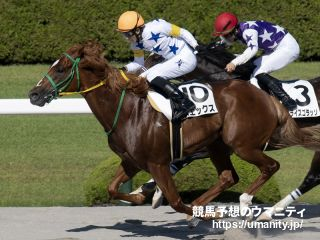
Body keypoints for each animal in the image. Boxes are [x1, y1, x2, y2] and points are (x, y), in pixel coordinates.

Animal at [28, 40, 320, 223]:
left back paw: (251, 205)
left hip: (242, 145)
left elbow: (177, 200)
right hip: (219, 145)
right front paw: (141, 195)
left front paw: (191, 209)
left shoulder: (157, 161)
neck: (129, 110)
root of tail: (268, 98)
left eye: (61, 68)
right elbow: (111, 188)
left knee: (272, 167)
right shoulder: (132, 161)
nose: (34, 94)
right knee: (230, 176)